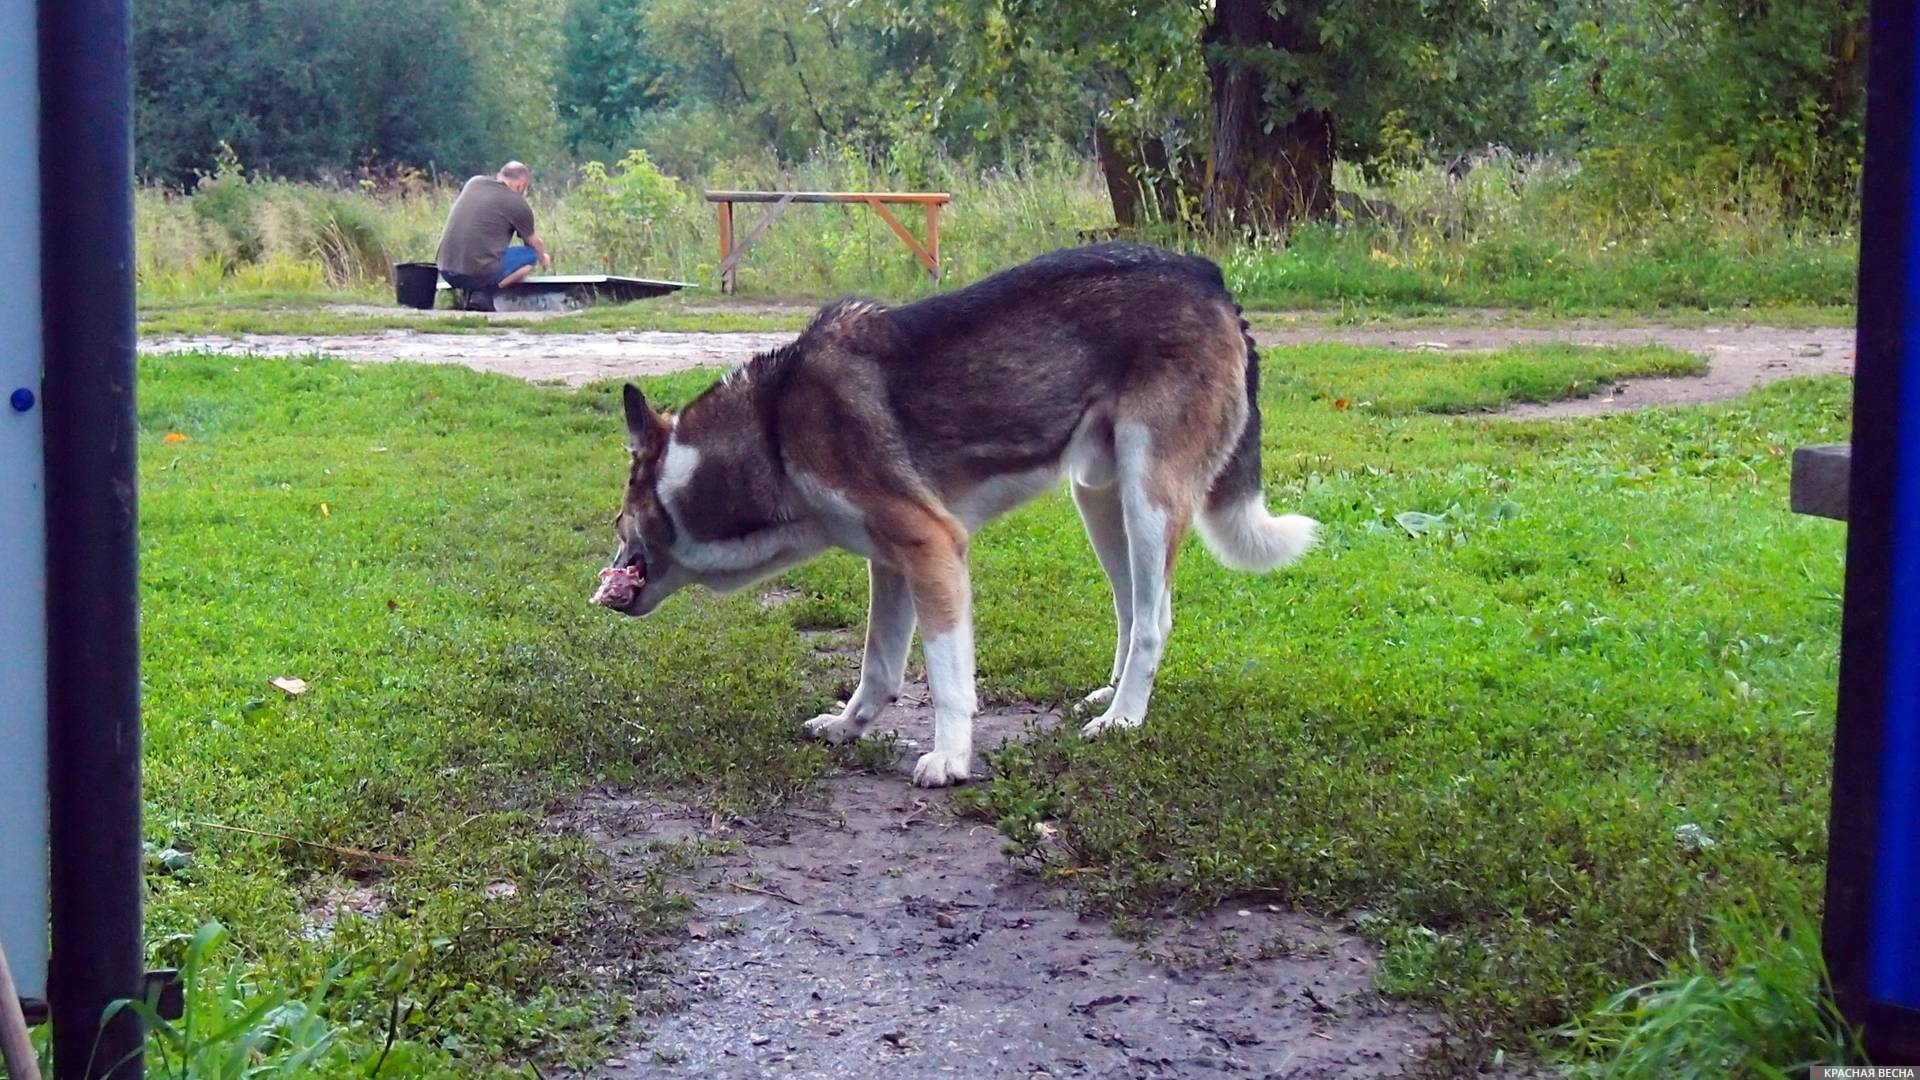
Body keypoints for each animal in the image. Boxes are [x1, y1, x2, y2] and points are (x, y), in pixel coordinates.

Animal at [595, 242, 1320, 780]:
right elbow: (878, 669)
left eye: (617, 522)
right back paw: (1109, 695)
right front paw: (848, 727)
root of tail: (1208, 275)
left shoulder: (934, 547)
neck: (773, 430)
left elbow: (947, 678)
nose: (605, 575)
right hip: (1099, 499)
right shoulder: (893, 565)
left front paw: (949, 758)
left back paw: (1123, 718)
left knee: (1155, 620)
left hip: (1149, 501)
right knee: (1131, 608)